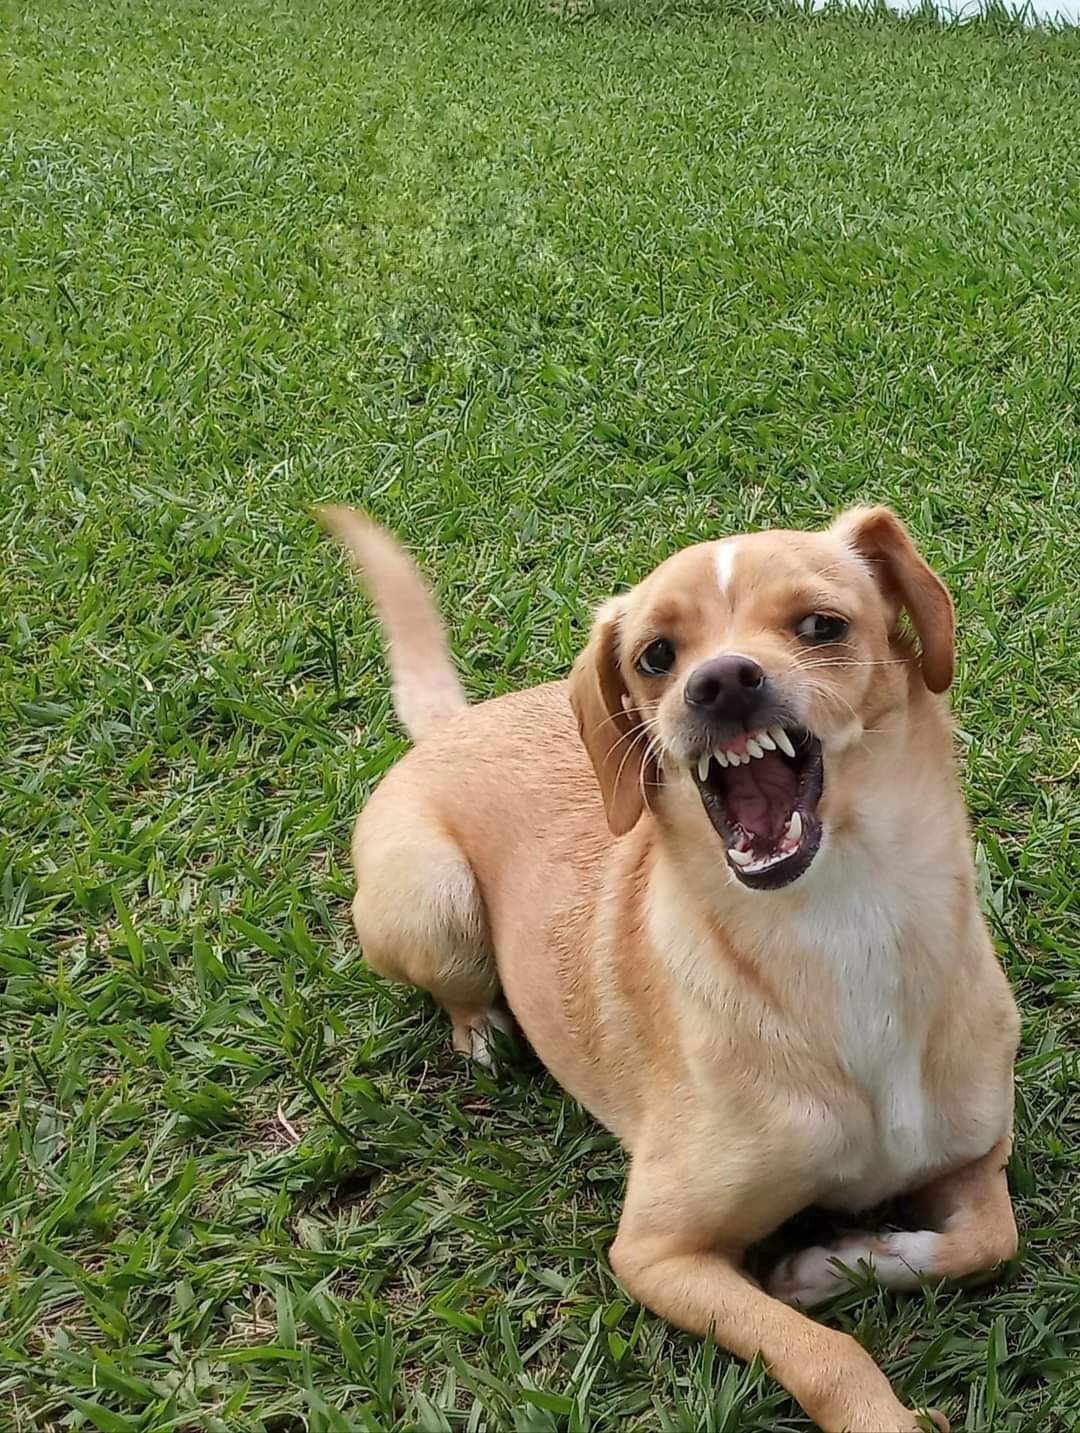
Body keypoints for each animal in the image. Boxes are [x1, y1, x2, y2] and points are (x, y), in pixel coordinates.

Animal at [319, 504, 1019, 1433]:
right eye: (657, 655)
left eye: (821, 626)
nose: (720, 682)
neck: (842, 921)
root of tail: (455, 725)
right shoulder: (655, 1250)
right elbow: (825, 1353)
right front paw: (873, 1395)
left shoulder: (977, 1154)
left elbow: (990, 1240)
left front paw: (836, 1262)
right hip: (431, 901)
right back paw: (483, 1033)